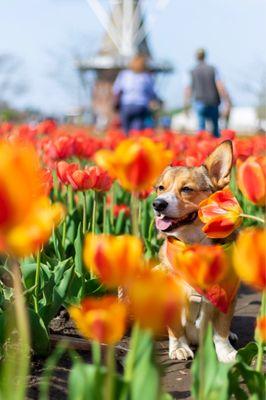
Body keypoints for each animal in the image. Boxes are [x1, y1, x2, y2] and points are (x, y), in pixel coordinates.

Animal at [153, 141, 238, 362]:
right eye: (161, 188)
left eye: (186, 189)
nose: (157, 204)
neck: (193, 245)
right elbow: (176, 330)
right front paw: (179, 348)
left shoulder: (227, 297)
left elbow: (221, 330)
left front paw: (226, 353)